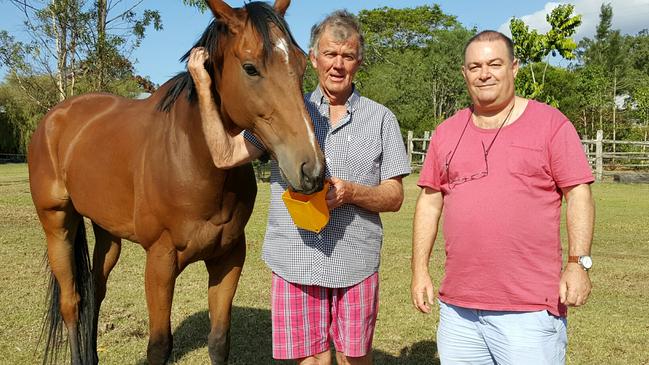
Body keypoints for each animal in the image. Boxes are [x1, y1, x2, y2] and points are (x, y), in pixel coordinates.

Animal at [26, 0, 324, 362]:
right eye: (251, 68)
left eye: (300, 62)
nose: (311, 169)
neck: (195, 160)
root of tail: (54, 118)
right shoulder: (160, 263)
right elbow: (159, 345)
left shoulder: (228, 257)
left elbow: (219, 340)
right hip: (57, 224)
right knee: (71, 303)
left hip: (107, 233)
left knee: (95, 291)